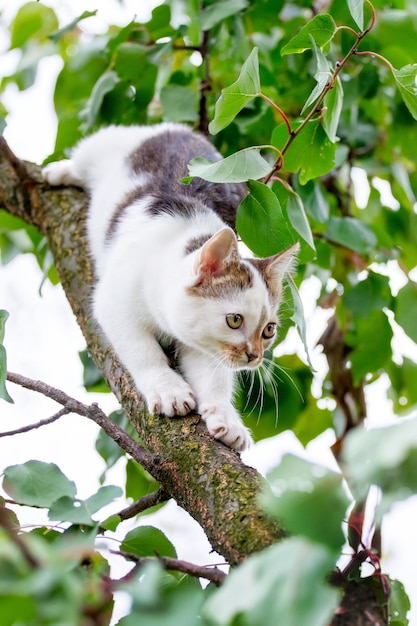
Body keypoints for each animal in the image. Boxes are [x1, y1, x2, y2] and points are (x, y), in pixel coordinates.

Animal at [44, 122, 298, 450]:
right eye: (234, 320)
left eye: (269, 330)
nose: (254, 356)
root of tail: (181, 130)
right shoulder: (113, 302)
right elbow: (140, 348)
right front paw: (168, 389)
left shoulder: (202, 341)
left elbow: (213, 374)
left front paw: (225, 417)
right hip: (109, 143)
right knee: (86, 155)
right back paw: (60, 171)